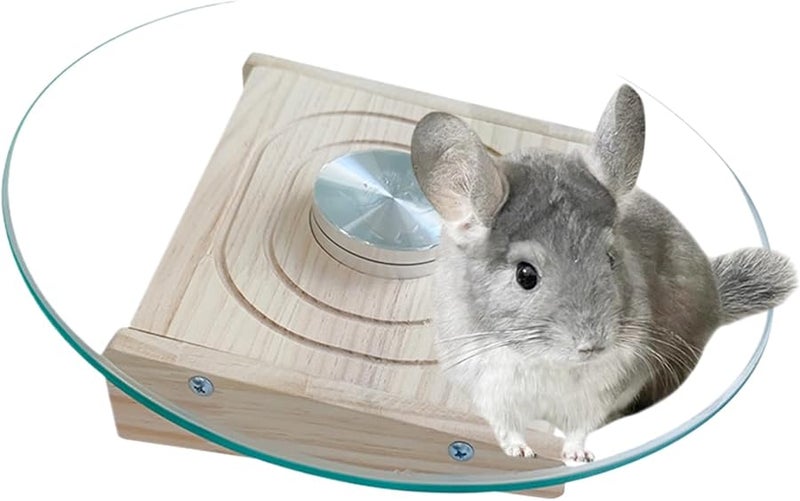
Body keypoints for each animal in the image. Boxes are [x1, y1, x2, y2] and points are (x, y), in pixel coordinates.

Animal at [410, 85, 796, 462]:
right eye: (525, 275)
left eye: (611, 258)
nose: (593, 345)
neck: (545, 359)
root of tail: (717, 297)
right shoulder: (487, 388)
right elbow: (506, 426)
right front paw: (520, 451)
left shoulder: (605, 390)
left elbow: (580, 427)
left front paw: (579, 455)